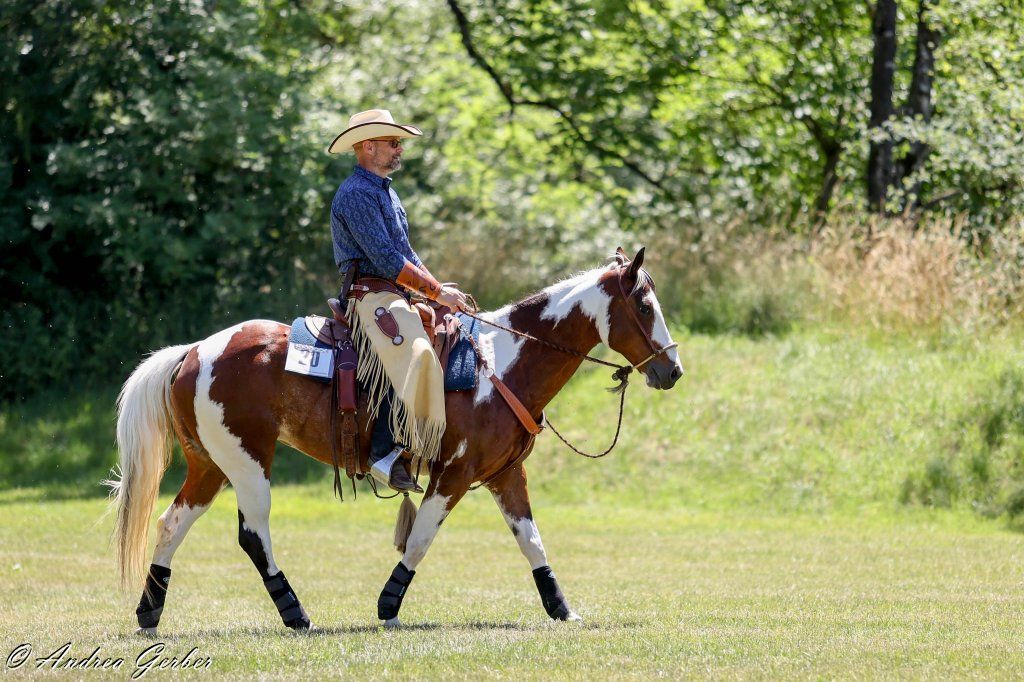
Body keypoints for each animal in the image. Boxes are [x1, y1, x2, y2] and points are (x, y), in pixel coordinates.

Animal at [107, 247, 683, 634]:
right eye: (643, 306)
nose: (673, 370)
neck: (499, 364)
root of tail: (194, 351)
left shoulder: (504, 473)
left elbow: (531, 541)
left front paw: (562, 608)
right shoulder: (454, 473)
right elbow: (422, 536)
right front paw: (388, 605)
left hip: (211, 465)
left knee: (171, 523)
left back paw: (149, 612)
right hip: (249, 463)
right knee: (253, 535)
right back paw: (296, 614)